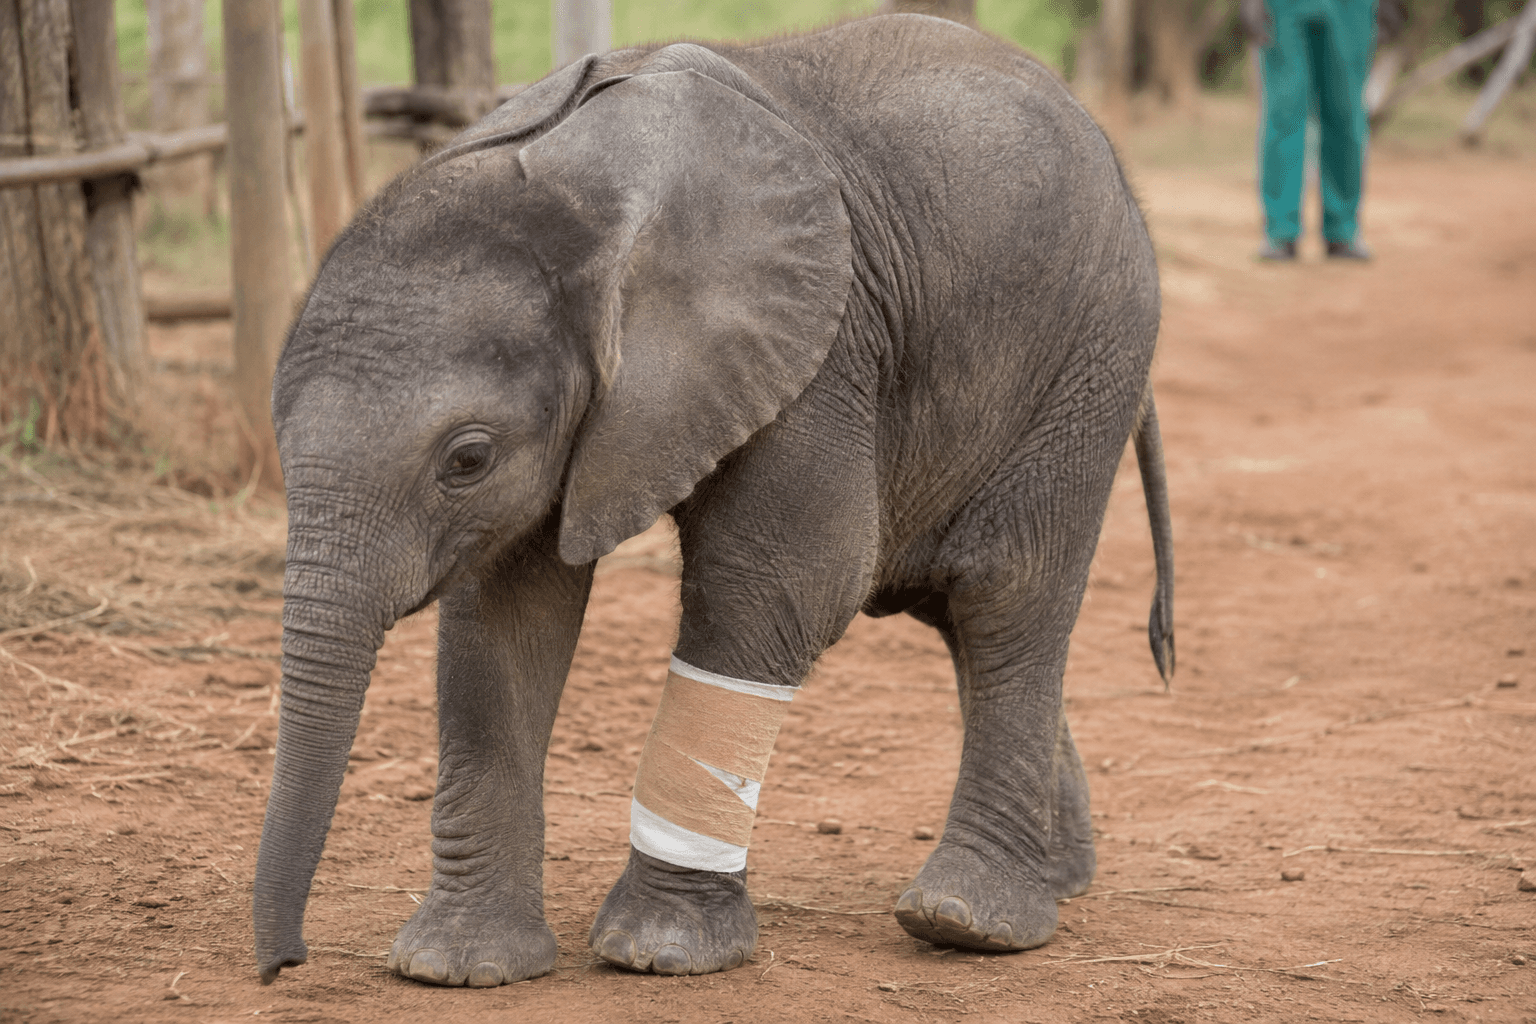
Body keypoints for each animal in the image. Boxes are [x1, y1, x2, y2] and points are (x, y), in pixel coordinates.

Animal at [254, 13, 1174, 988]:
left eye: (467, 458)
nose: (284, 965)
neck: (572, 194)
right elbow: (505, 618)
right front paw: (457, 969)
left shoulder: (822, 341)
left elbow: (777, 584)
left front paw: (662, 953)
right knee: (957, 610)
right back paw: (1059, 878)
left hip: (1092, 349)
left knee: (1005, 591)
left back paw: (967, 922)